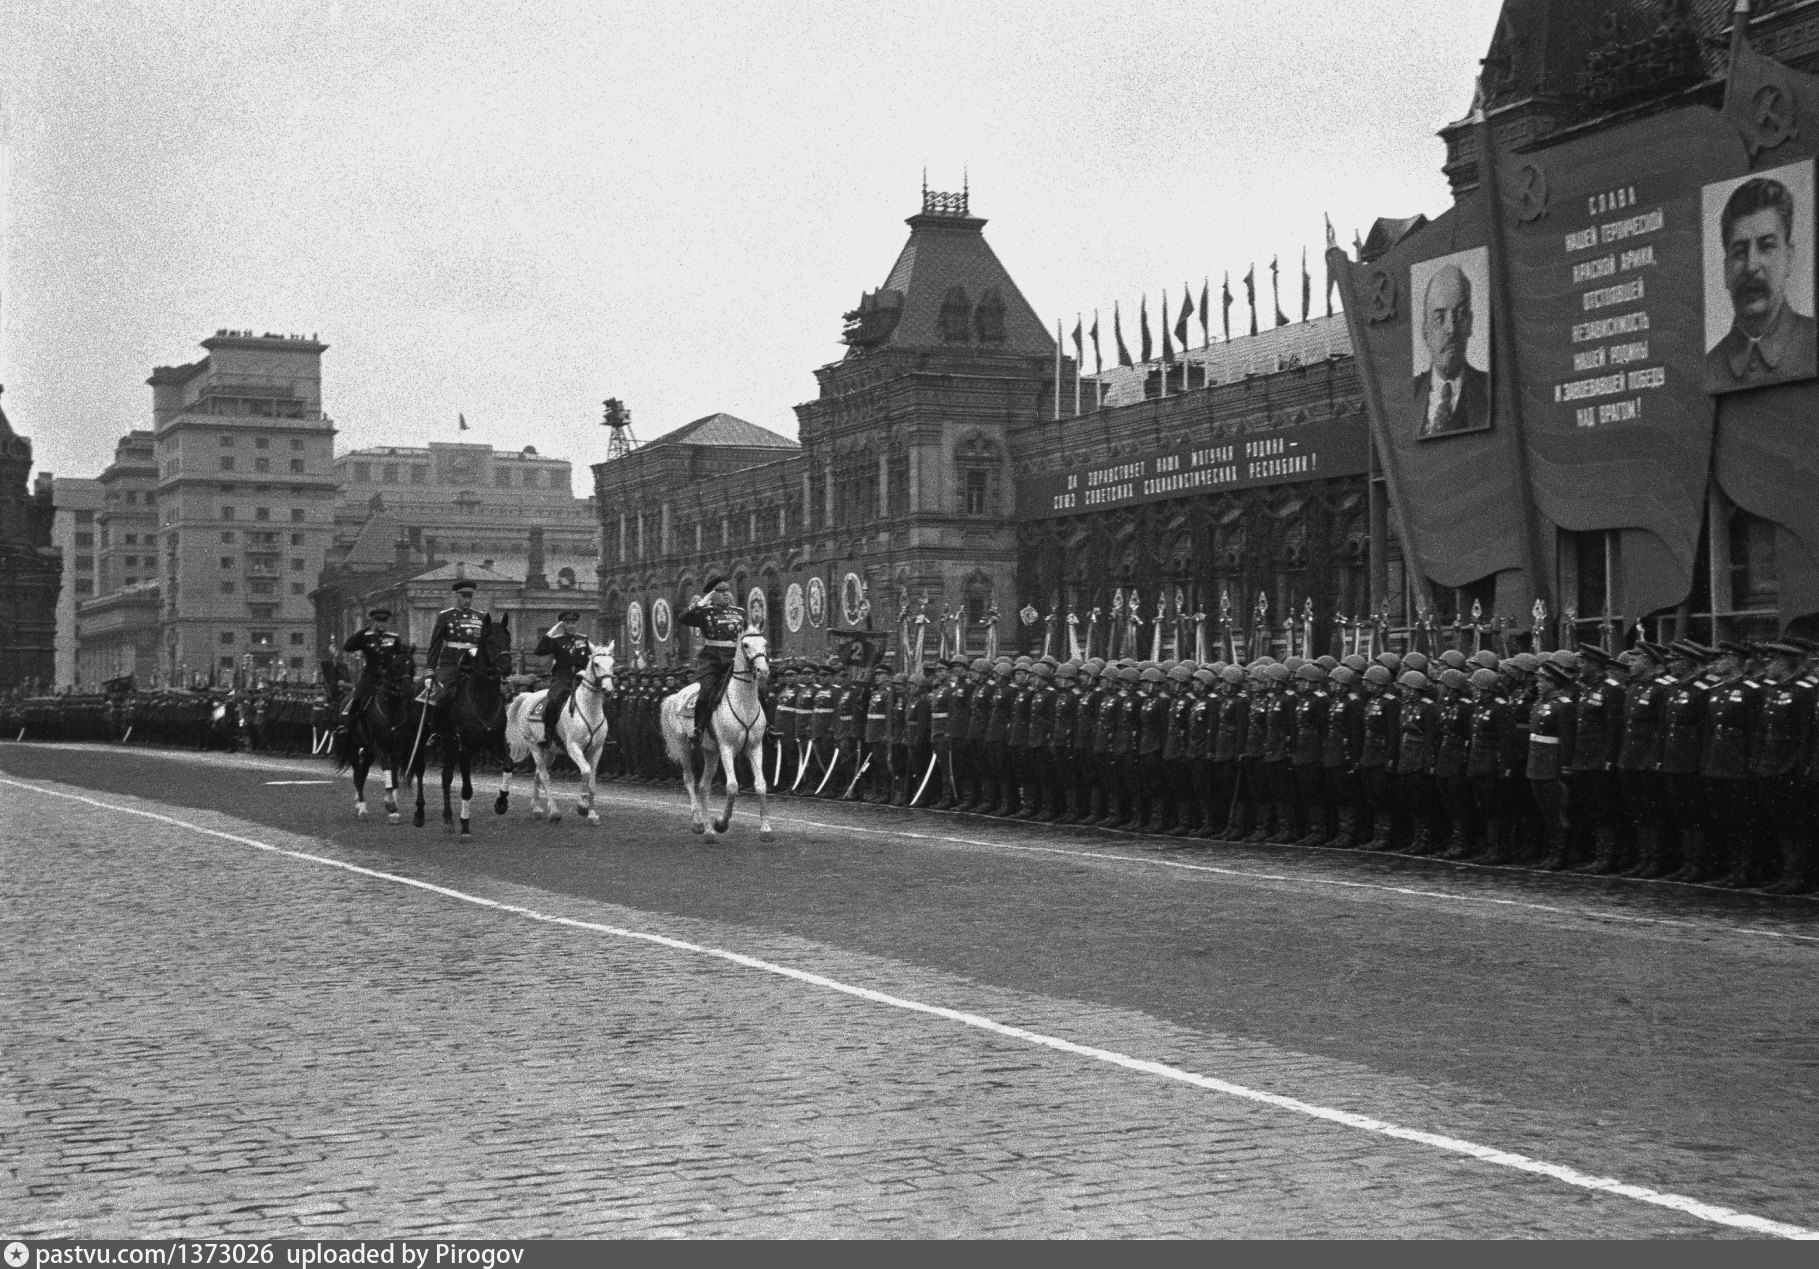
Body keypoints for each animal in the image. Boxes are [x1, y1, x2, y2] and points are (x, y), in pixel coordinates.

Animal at [332, 643, 416, 821]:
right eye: (396, 665)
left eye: (412, 665)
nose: (407, 690)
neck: (390, 709)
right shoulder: (379, 745)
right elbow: (387, 767)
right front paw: (389, 802)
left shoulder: (397, 748)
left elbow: (394, 774)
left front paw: (393, 807)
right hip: (353, 747)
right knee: (358, 775)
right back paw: (362, 808)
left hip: (368, 751)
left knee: (362, 774)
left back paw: (360, 804)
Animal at [400, 610, 509, 829]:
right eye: (490, 640)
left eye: (507, 639)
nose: (507, 667)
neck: (482, 698)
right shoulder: (464, 748)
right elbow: (467, 788)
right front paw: (465, 822)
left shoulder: (496, 741)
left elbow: (508, 765)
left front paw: (501, 802)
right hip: (425, 740)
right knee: (420, 770)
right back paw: (420, 813)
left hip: (449, 745)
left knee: (446, 777)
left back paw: (448, 817)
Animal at [498, 636, 618, 825]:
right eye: (596, 664)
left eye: (612, 663)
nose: (608, 690)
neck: (589, 710)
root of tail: (529, 696)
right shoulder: (574, 747)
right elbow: (586, 771)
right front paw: (582, 806)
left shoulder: (597, 750)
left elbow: (592, 780)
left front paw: (592, 814)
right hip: (534, 746)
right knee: (544, 776)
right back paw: (554, 812)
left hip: (549, 751)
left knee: (538, 775)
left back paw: (537, 808)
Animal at [662, 632, 774, 839]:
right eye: (746, 645)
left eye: (764, 643)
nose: (762, 670)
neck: (743, 702)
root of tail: (677, 696)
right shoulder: (726, 748)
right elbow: (732, 786)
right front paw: (722, 823)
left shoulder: (755, 747)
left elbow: (761, 785)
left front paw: (765, 829)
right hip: (683, 745)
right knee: (689, 779)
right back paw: (699, 822)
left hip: (711, 752)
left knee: (704, 786)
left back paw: (708, 830)